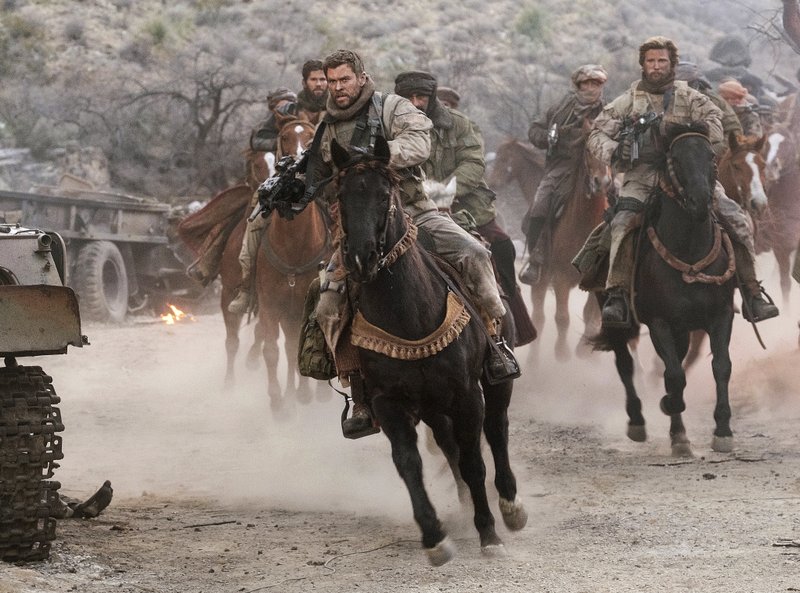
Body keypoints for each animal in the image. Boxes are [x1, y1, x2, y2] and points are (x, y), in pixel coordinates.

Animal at [328, 136, 528, 568]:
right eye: (341, 195)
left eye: (384, 193)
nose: (361, 257)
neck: (408, 314)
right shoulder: (389, 403)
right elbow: (410, 464)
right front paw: (435, 537)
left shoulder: (467, 395)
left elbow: (474, 459)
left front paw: (489, 533)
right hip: (432, 405)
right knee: (448, 445)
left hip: (494, 383)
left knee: (497, 431)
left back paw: (510, 506)